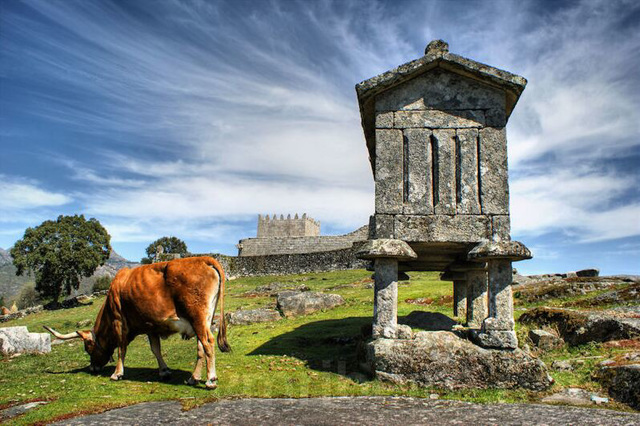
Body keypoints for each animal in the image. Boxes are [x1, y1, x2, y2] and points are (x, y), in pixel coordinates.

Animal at [42, 256, 229, 390]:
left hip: (197, 318)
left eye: (88, 349)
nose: (92, 368)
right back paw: (193, 378)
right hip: (203, 320)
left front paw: (117, 373)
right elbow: (155, 349)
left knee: (208, 342)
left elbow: (121, 349)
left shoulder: (119, 322)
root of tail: (204, 259)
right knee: (201, 347)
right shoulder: (151, 326)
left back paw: (210, 380)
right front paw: (164, 371)